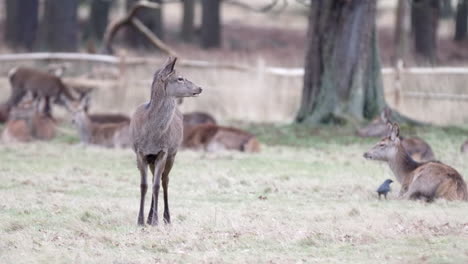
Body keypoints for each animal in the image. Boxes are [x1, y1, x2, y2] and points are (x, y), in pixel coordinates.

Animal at [129, 56, 202, 226]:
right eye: (180, 78)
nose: (200, 88)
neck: (151, 136)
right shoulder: (140, 152)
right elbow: (144, 185)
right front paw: (141, 220)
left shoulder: (163, 151)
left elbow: (156, 186)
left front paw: (156, 220)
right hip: (152, 159)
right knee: (155, 180)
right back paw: (149, 217)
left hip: (172, 154)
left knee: (165, 180)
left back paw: (166, 218)